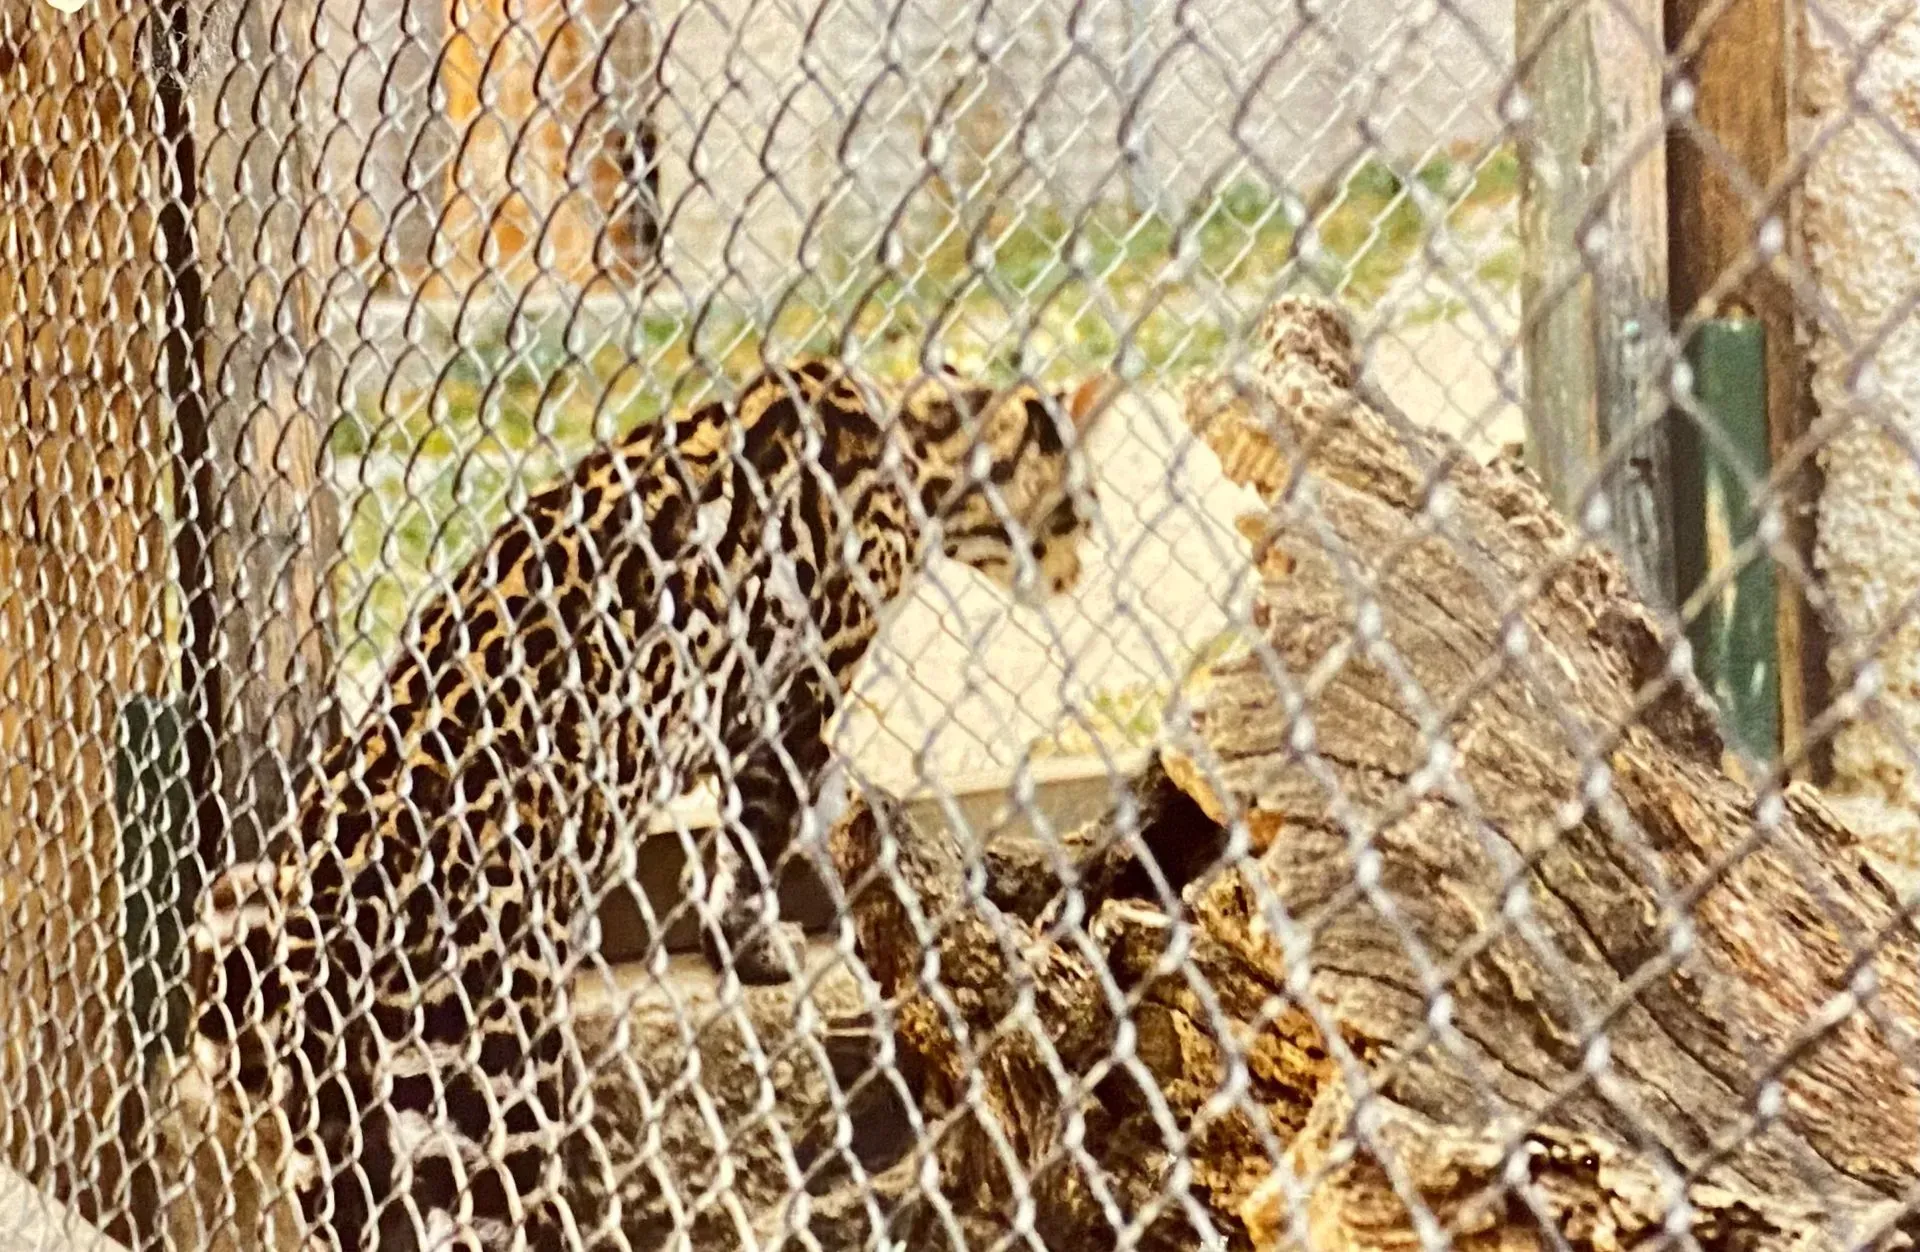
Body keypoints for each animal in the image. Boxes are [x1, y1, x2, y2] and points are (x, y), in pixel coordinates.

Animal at [182, 355, 1113, 1251]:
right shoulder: (793, 702)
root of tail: (315, 906)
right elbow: (766, 833)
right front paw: (758, 938)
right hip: (488, 1082)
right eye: (1085, 510)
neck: (923, 440)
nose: (1080, 574)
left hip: (342, 1105)